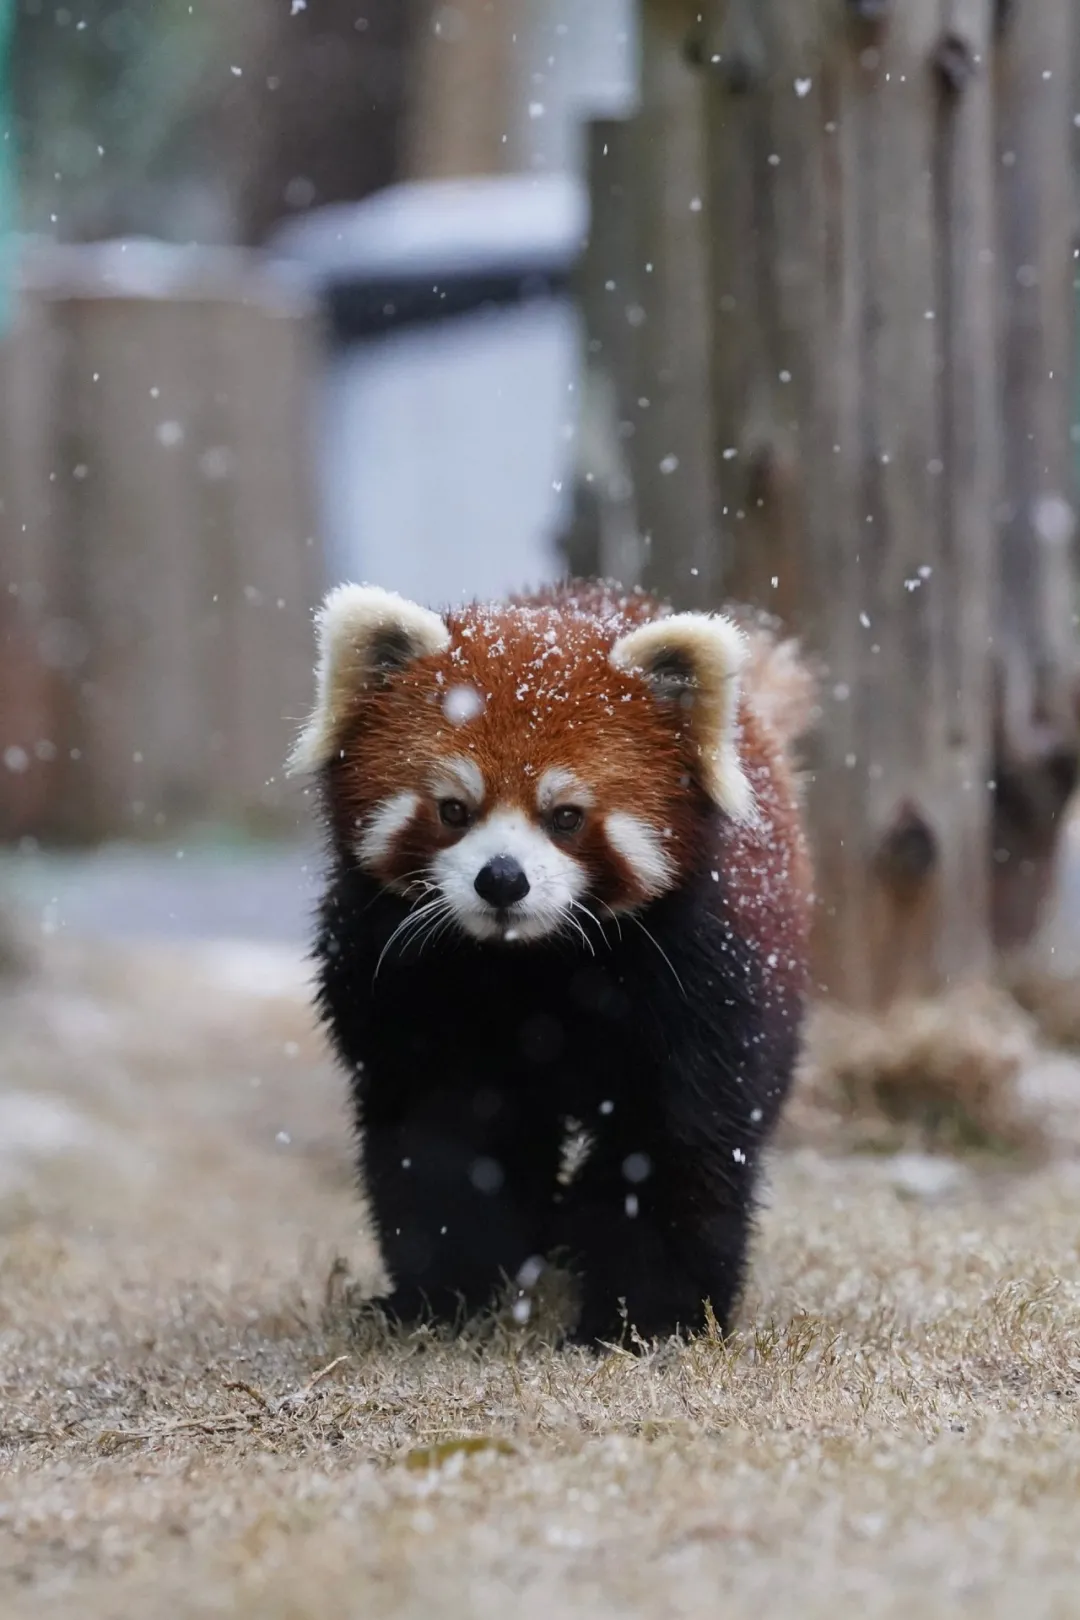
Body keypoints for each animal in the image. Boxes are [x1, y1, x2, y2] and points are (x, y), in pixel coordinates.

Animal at [291, 579, 816, 1341]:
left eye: (565, 816)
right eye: (454, 809)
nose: (503, 879)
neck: (533, 965)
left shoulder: (697, 976)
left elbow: (674, 1137)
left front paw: (646, 1318)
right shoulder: (401, 980)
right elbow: (444, 1134)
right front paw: (443, 1297)